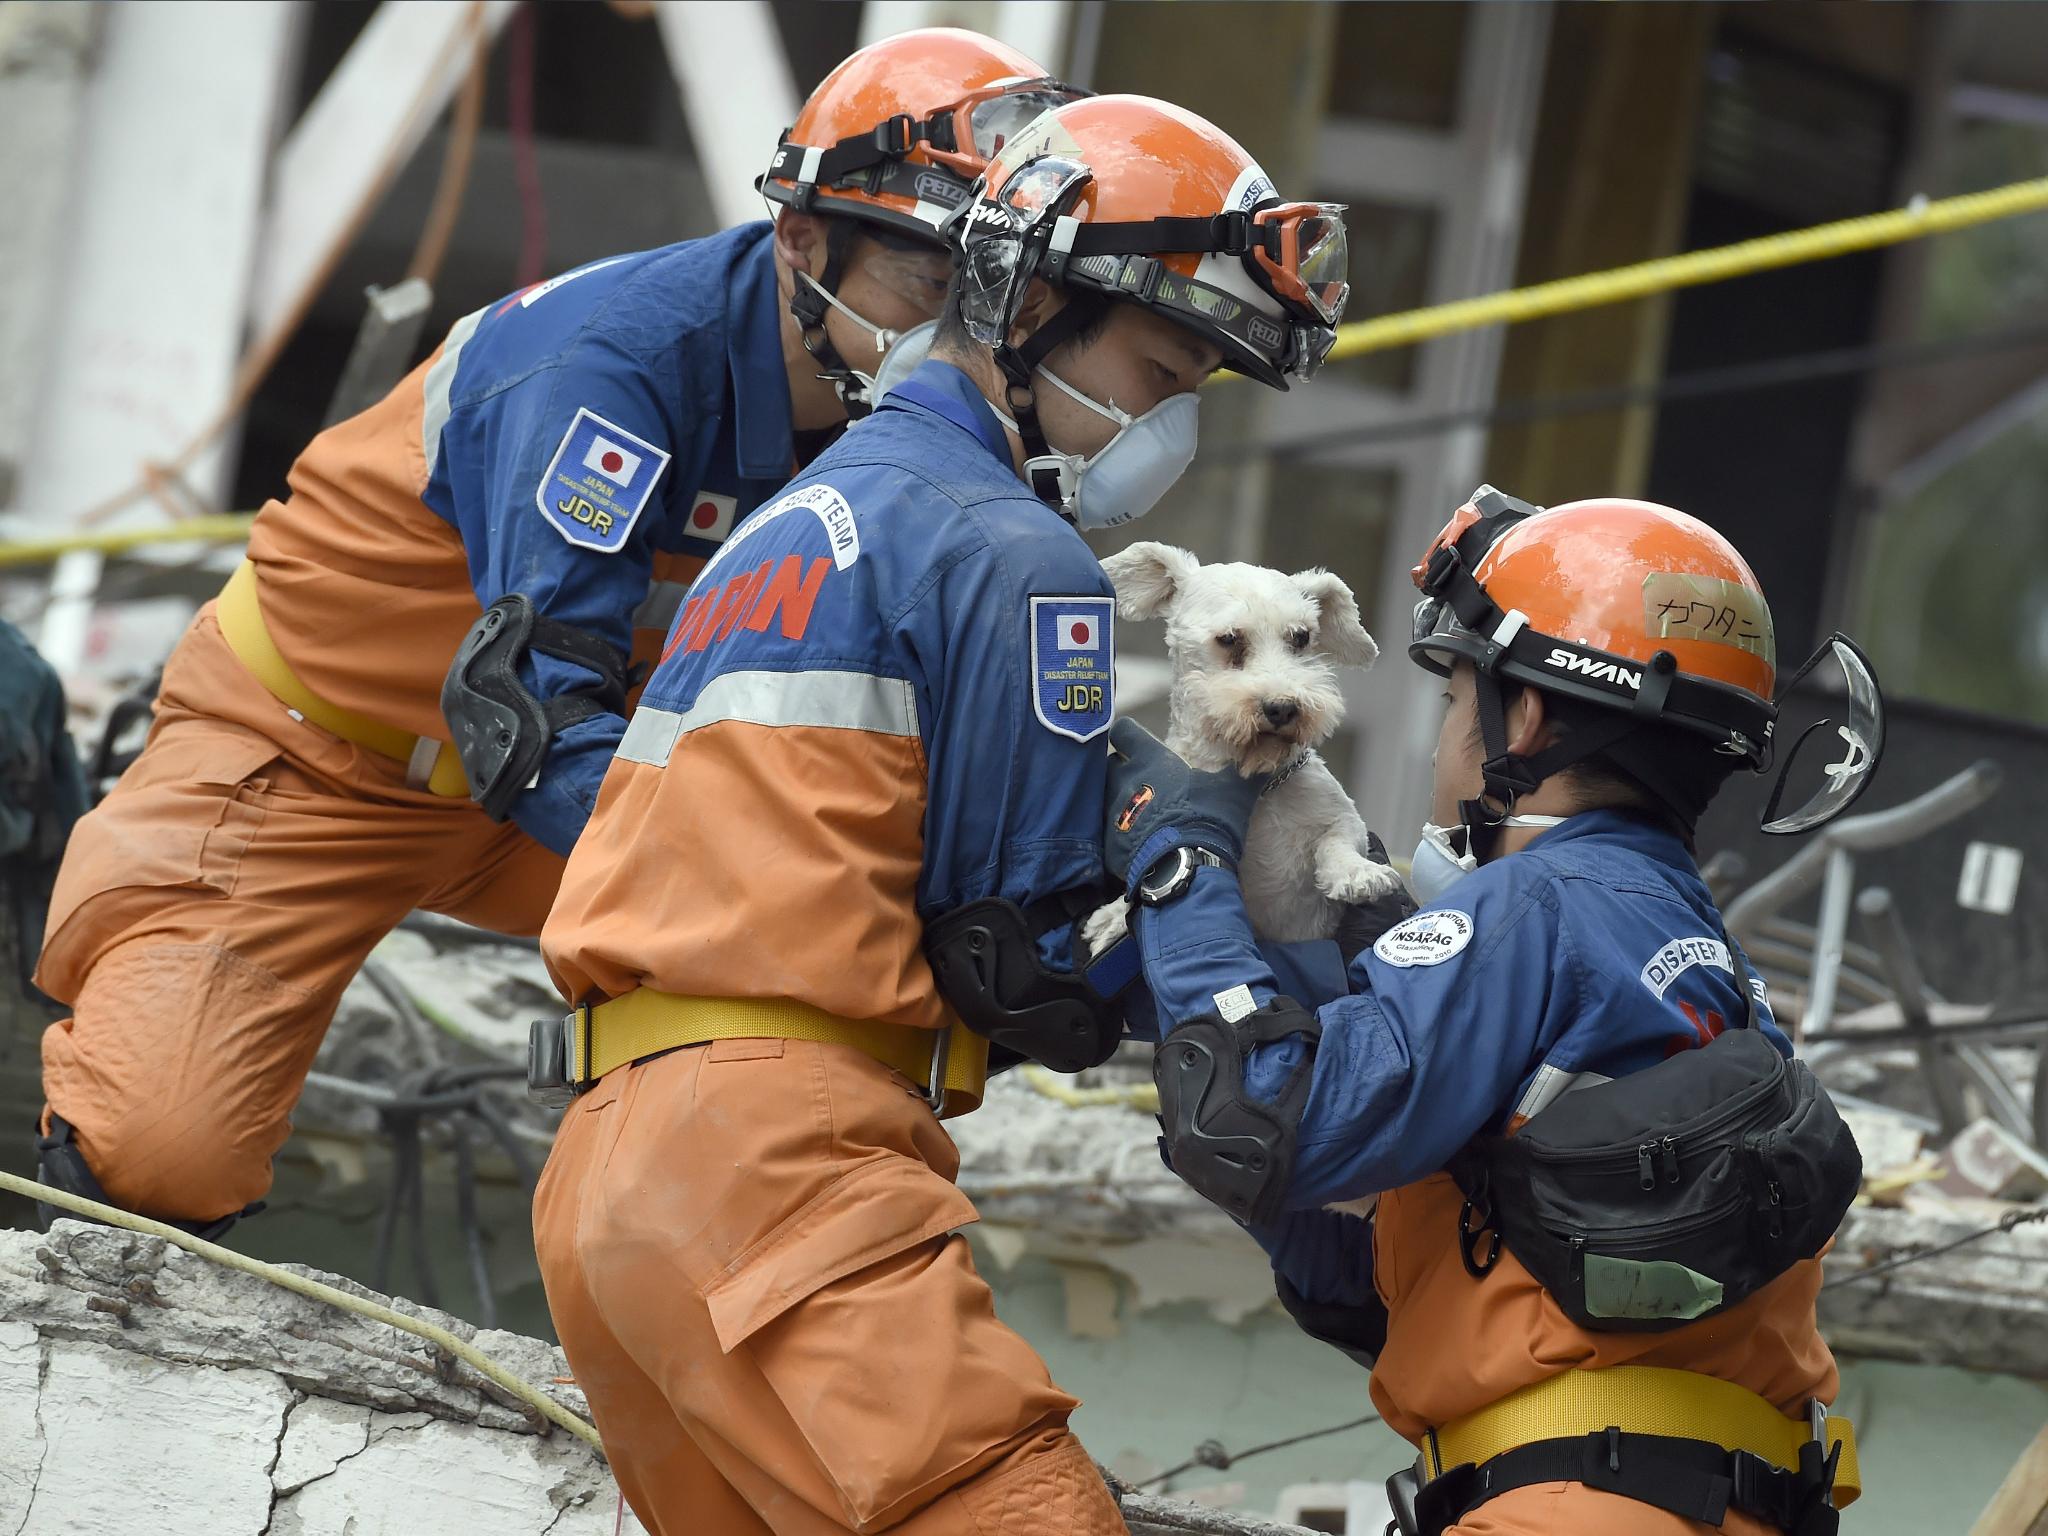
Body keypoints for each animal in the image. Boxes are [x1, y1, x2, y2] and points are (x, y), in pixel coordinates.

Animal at [1081, 536, 1400, 950]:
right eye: (1230, 639)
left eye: (1301, 637)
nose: (1283, 707)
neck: (1259, 786)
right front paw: (1113, 915)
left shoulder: (1342, 816)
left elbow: (1338, 840)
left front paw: (1357, 873)